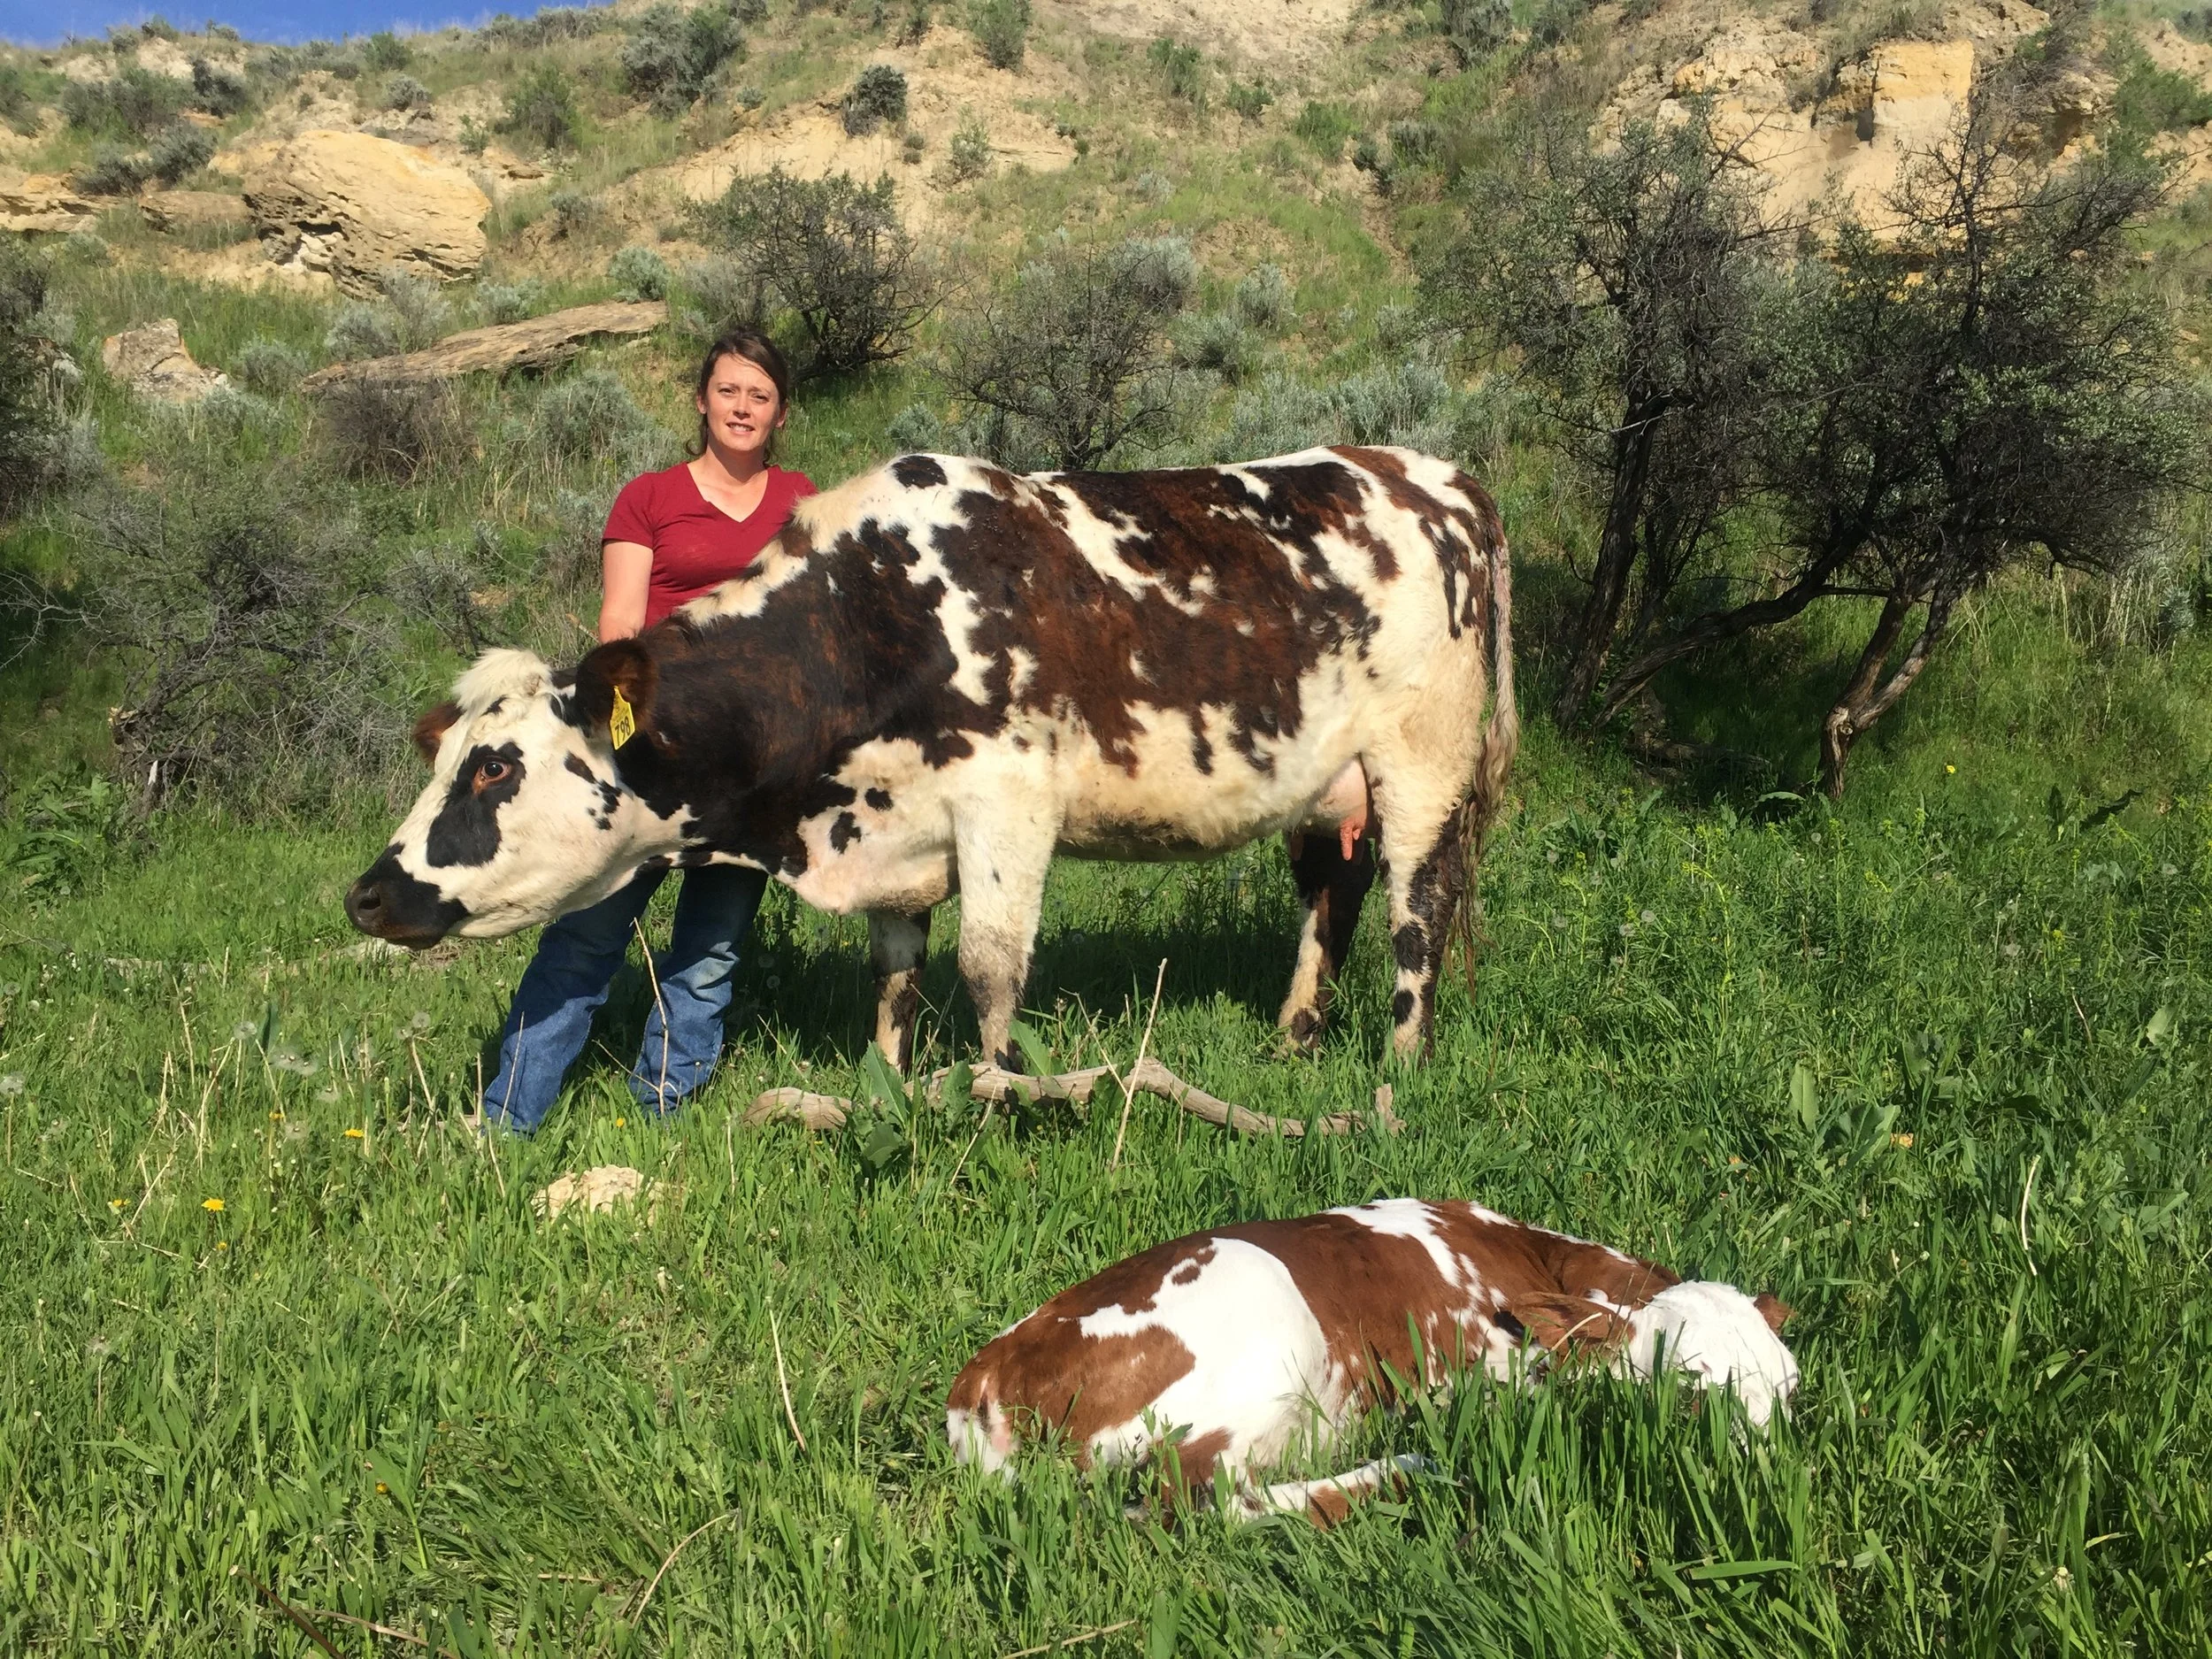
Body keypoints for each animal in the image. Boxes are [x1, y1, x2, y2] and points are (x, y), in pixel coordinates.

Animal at [344, 446, 1516, 1072]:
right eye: (453, 758)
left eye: (494, 769)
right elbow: (896, 976)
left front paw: (1004, 1095)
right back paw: (1293, 1039)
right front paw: (886, 1080)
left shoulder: (1006, 804)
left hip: (1422, 764)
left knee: (1419, 909)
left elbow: (991, 970)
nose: (366, 894)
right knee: (1332, 892)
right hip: (1330, 784)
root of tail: (1431, 473)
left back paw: (1394, 1074)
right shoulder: (891, 832)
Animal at [946, 1198, 1800, 1523]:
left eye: (1792, 1392)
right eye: (1692, 1392)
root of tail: (985, 1368)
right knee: (1205, 1501)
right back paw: (1408, 1468)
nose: (1769, 1484)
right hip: (1264, 1312)